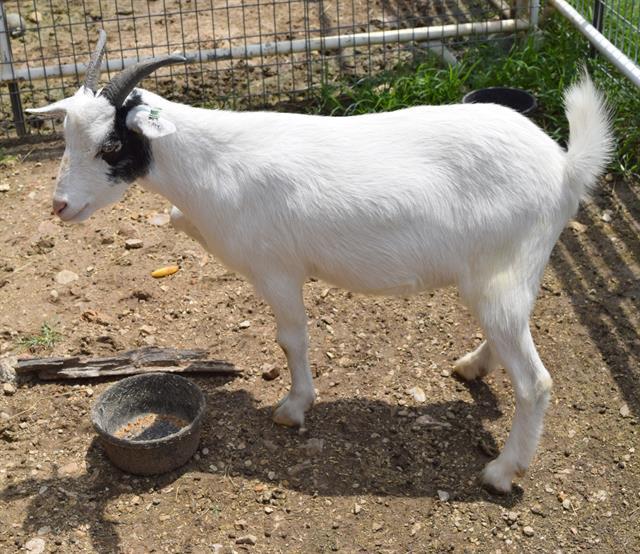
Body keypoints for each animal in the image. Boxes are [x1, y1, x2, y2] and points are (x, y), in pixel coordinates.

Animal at [28, 31, 613, 493]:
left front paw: (293, 408)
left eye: (110, 146)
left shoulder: (276, 270)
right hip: (506, 276)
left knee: (535, 382)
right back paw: (472, 366)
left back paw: (501, 472)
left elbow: (292, 338)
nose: (60, 206)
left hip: (500, 275)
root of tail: (565, 167)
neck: (212, 163)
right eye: (67, 138)